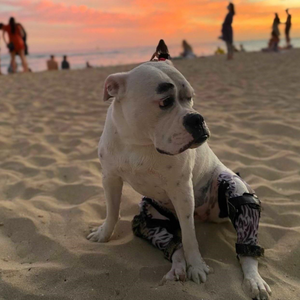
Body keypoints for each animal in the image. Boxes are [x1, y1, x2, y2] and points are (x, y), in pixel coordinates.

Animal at [86, 61, 272, 300]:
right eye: (165, 102)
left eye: (190, 98)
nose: (197, 118)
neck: (139, 142)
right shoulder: (110, 178)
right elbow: (112, 211)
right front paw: (104, 234)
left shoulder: (182, 191)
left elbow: (190, 236)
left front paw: (197, 265)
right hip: (150, 215)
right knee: (171, 241)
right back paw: (177, 266)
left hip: (236, 189)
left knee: (245, 241)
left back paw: (253, 280)